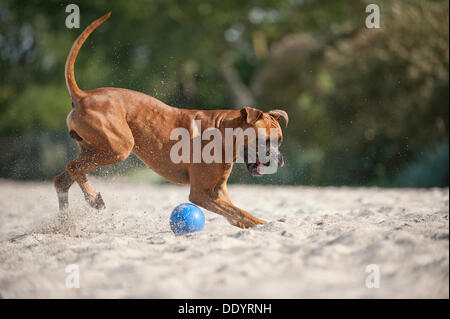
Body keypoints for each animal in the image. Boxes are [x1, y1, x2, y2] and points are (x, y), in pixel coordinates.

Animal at [54, 11, 288, 228]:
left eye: (279, 141)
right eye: (265, 141)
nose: (281, 161)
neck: (225, 132)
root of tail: (84, 96)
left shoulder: (218, 191)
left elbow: (238, 214)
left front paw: (262, 225)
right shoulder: (202, 193)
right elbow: (241, 213)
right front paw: (267, 225)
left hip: (96, 149)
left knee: (63, 178)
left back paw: (66, 221)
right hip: (118, 147)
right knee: (73, 167)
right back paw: (92, 199)